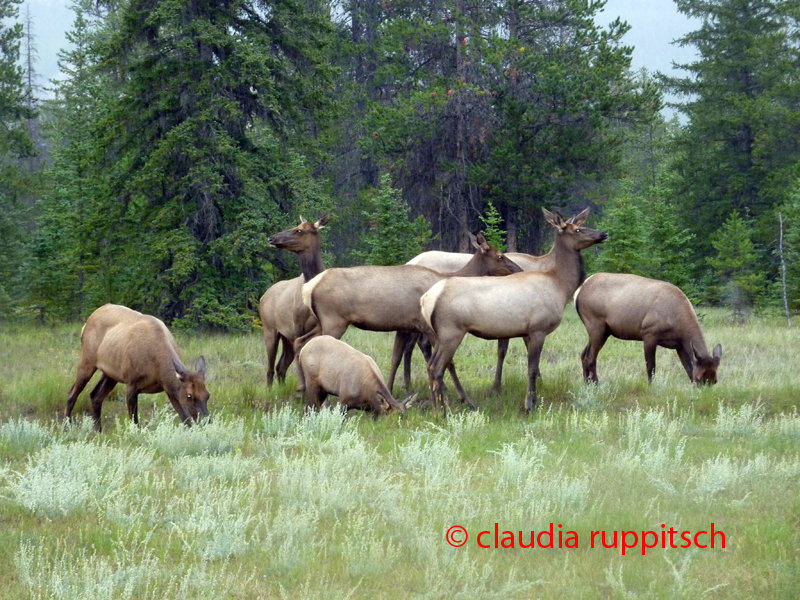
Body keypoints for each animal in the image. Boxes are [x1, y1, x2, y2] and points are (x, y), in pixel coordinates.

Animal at [260, 213, 328, 386]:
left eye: (299, 230)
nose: (271, 238)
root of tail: (263, 296)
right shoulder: (298, 327)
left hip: (286, 337)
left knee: (280, 366)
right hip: (270, 330)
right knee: (270, 369)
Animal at [290, 232, 520, 406]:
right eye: (500, 256)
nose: (519, 269)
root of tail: (308, 287)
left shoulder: (405, 325)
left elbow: (396, 357)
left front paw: (392, 389)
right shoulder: (425, 325)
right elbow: (449, 362)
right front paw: (465, 399)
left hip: (324, 321)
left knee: (300, 341)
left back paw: (302, 388)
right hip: (334, 320)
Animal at [418, 210, 608, 412]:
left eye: (581, 225)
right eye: (578, 229)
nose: (604, 234)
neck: (561, 287)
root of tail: (426, 299)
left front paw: (532, 400)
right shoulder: (538, 329)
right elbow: (531, 369)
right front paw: (529, 405)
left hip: (440, 334)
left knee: (431, 365)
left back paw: (438, 408)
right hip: (451, 332)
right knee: (437, 367)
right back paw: (443, 412)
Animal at [576, 274, 724, 384]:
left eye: (715, 381)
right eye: (700, 379)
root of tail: (578, 292)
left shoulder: (680, 344)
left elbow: (688, 369)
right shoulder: (649, 333)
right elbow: (651, 367)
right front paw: (650, 386)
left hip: (604, 331)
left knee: (583, 354)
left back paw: (586, 382)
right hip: (596, 325)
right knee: (590, 357)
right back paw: (595, 384)